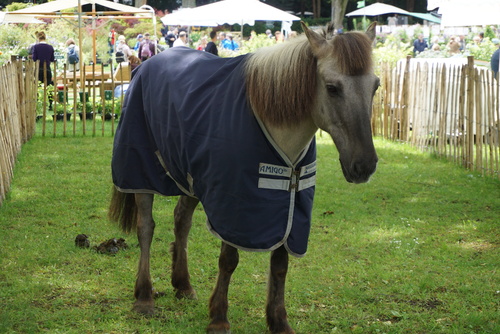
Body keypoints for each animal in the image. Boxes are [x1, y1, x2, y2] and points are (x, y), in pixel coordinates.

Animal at [107, 22, 376, 332]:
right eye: (332, 88)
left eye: (376, 86)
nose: (364, 165)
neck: (269, 115)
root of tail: (145, 65)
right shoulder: (232, 205)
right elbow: (228, 259)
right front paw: (219, 318)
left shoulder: (289, 204)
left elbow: (280, 263)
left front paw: (278, 321)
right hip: (141, 173)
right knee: (146, 228)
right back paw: (144, 297)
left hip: (189, 177)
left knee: (181, 221)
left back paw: (183, 284)